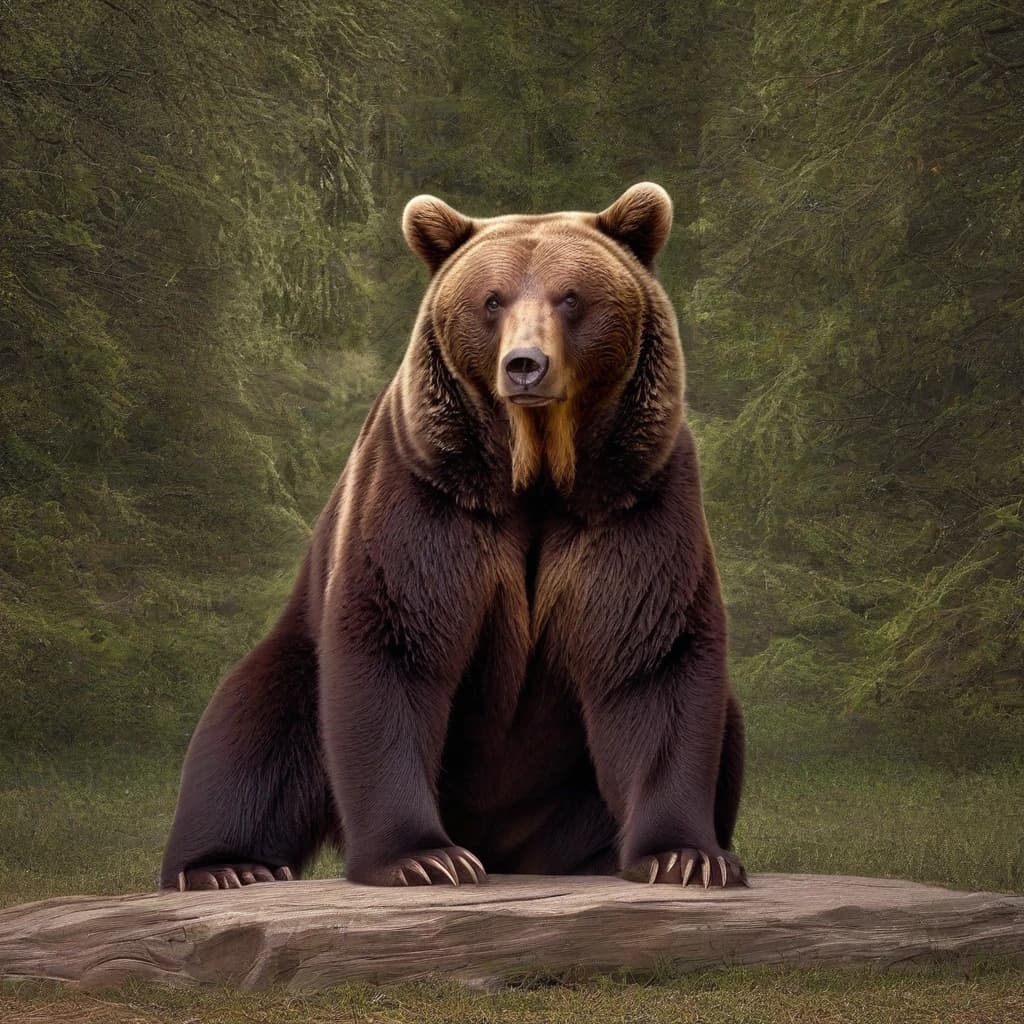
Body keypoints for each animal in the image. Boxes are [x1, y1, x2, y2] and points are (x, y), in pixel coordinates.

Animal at [160, 182, 747, 891]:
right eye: (491, 300)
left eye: (571, 296)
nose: (525, 365)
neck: (536, 473)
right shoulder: (430, 492)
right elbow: (398, 646)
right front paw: (424, 858)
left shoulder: (633, 495)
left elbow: (650, 655)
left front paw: (685, 857)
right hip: (295, 655)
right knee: (253, 726)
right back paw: (227, 866)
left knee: (725, 720)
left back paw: (595, 857)